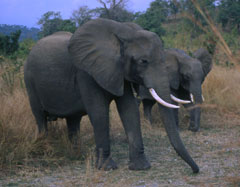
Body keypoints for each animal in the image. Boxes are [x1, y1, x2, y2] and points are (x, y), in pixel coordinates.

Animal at [23, 18, 199, 172]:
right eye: (143, 61)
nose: (195, 170)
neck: (122, 32)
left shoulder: (120, 71)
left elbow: (129, 109)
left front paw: (141, 167)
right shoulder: (86, 73)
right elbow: (99, 112)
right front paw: (106, 168)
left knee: (73, 120)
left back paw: (76, 154)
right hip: (30, 82)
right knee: (40, 117)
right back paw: (46, 148)